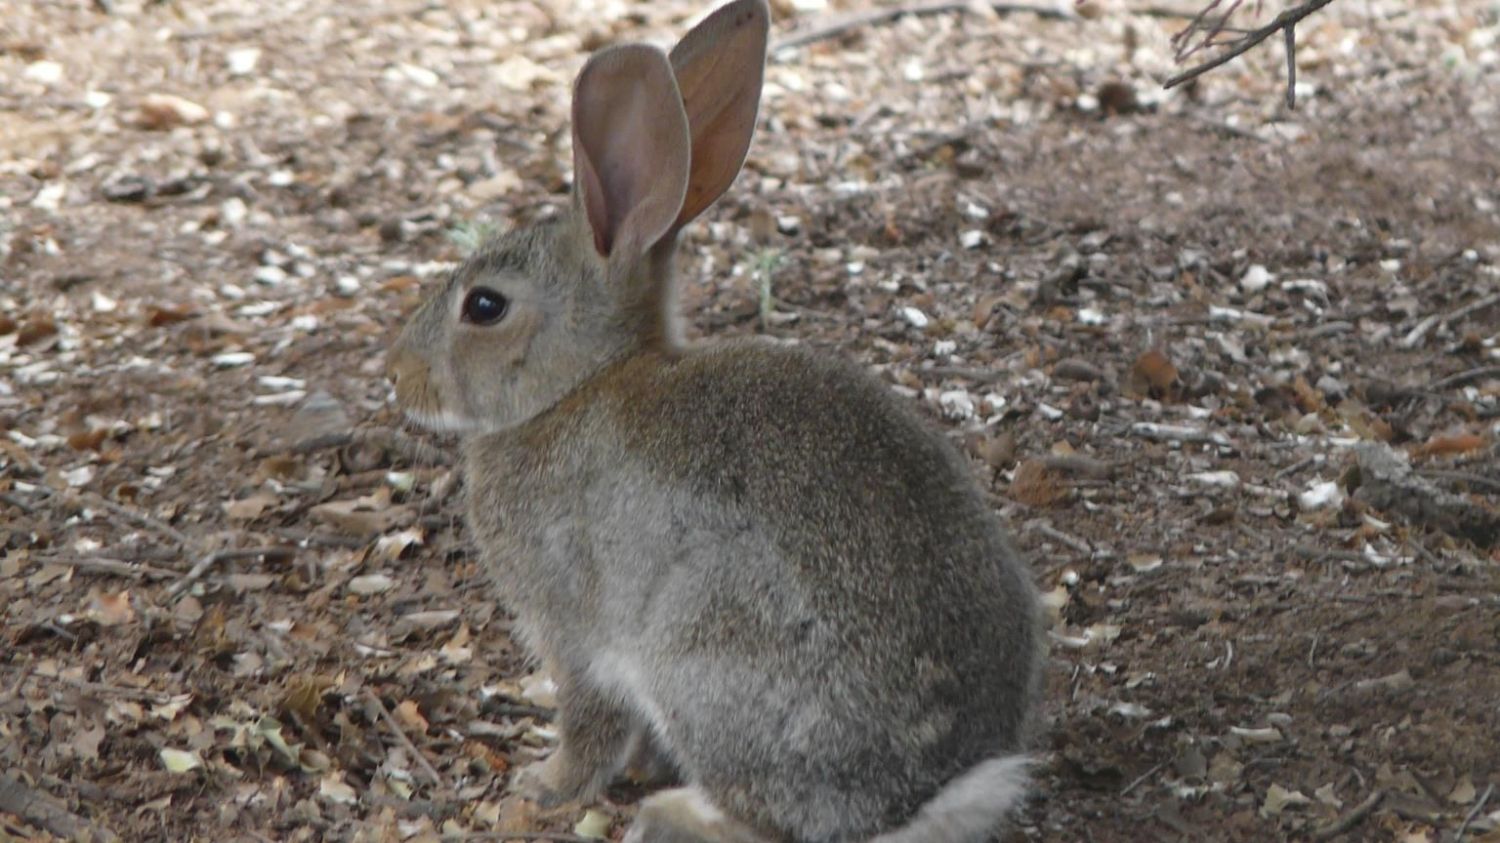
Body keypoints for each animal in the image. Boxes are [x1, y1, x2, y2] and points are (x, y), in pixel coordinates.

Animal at [387, 3, 1044, 834]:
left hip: (703, 654)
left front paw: (544, 785)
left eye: (484, 305)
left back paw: (672, 813)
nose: (398, 376)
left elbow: (589, 718)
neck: (577, 385)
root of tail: (920, 797)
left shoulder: (574, 630)